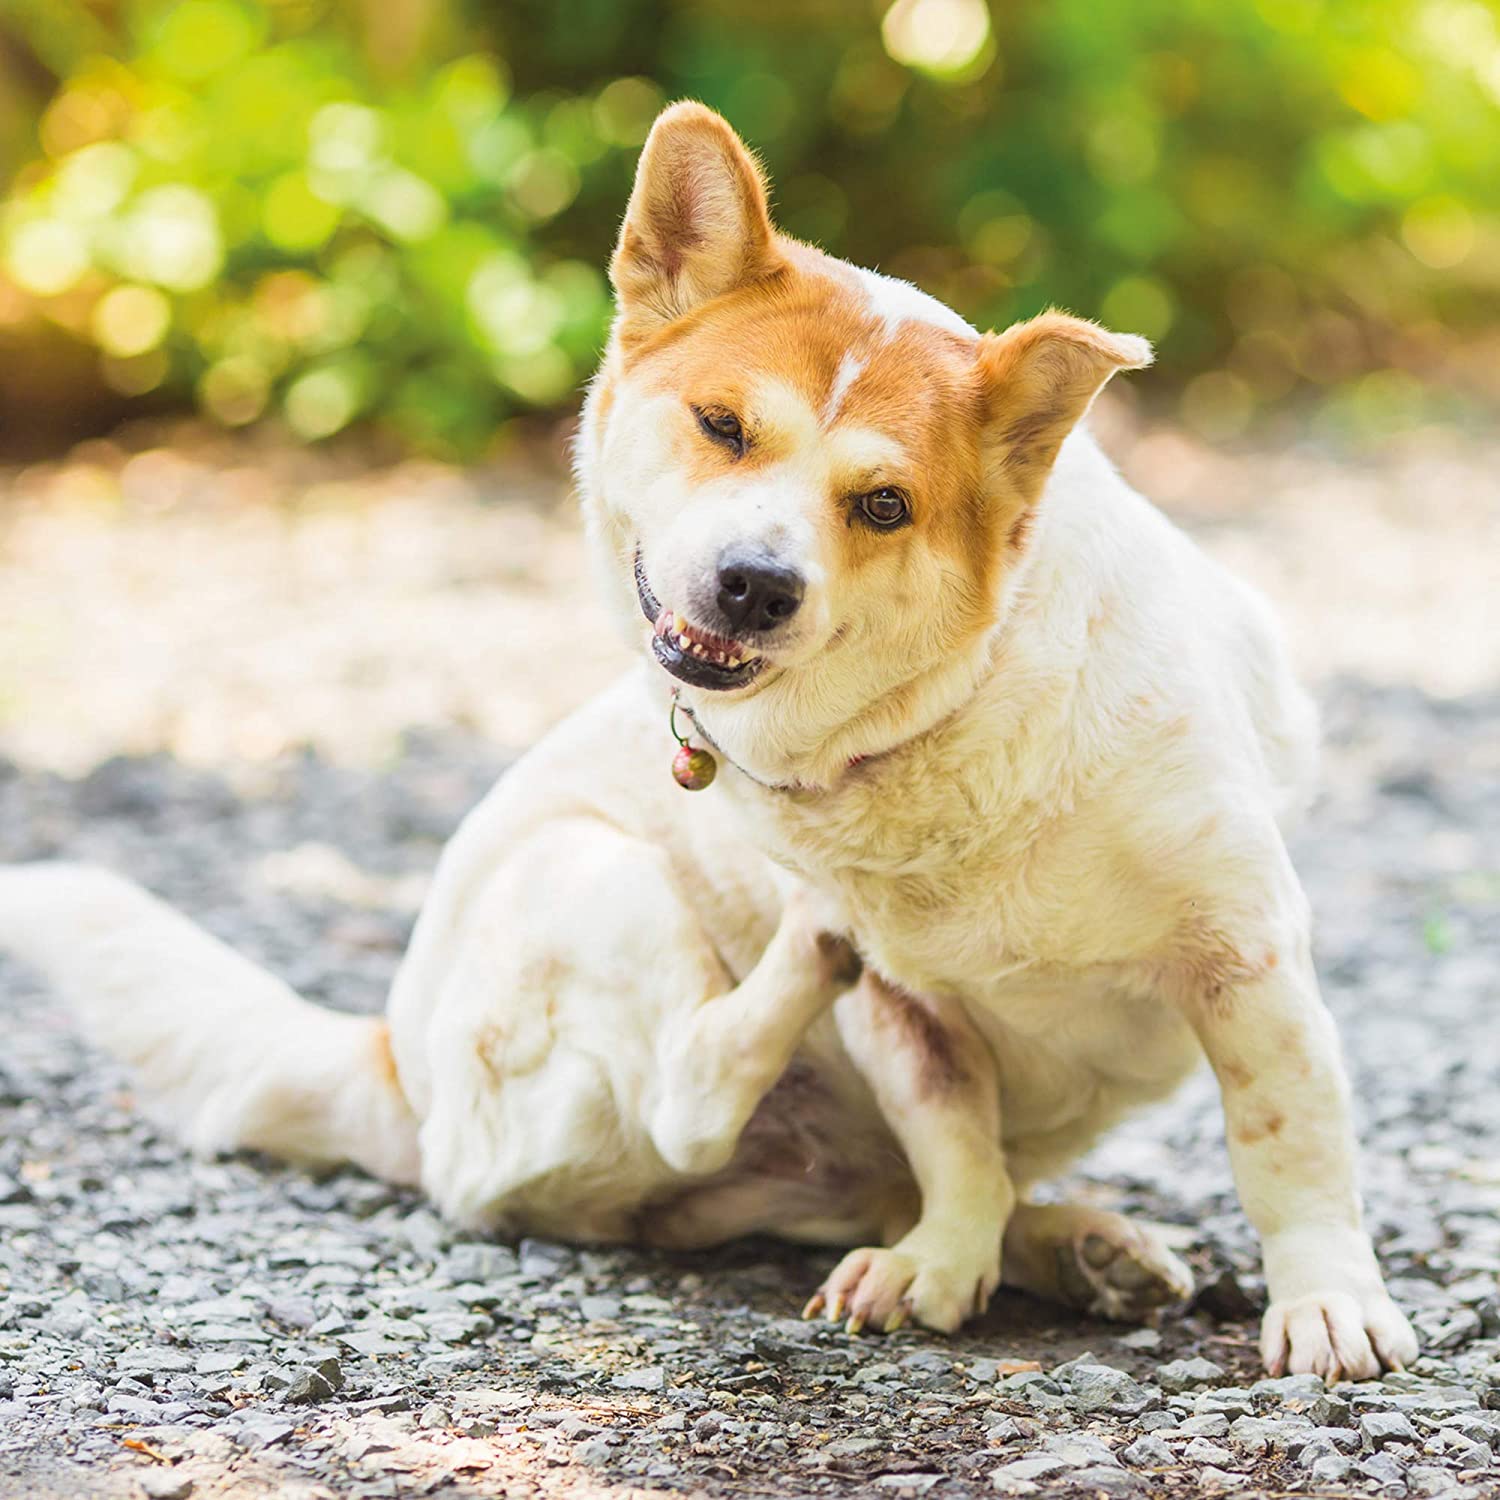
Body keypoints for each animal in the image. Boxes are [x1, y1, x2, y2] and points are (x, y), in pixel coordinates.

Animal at [0, 99, 1416, 1374]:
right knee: (693, 1098)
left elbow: (1288, 1142)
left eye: (884, 504)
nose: (754, 585)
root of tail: (392, 1065)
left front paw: (1325, 1302)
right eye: (724, 426)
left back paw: (1076, 1246)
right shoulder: (908, 1014)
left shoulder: (1246, 958)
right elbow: (955, 1142)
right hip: (595, 877)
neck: (954, 718)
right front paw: (946, 1263)